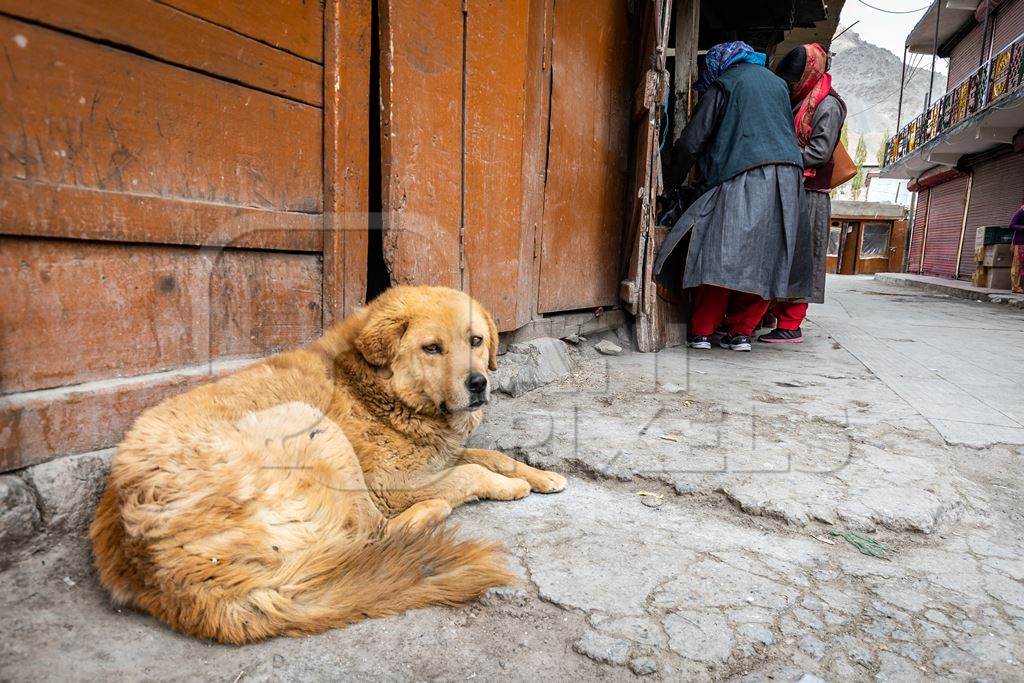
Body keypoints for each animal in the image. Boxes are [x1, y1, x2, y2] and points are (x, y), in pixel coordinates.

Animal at [91, 286, 565, 643]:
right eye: (432, 348)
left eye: (476, 341)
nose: (479, 384)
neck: (381, 388)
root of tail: (156, 565)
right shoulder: (391, 483)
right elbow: (471, 471)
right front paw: (509, 487)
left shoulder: (435, 456)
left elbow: (492, 456)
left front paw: (542, 475)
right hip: (314, 429)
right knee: (375, 533)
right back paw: (431, 513)